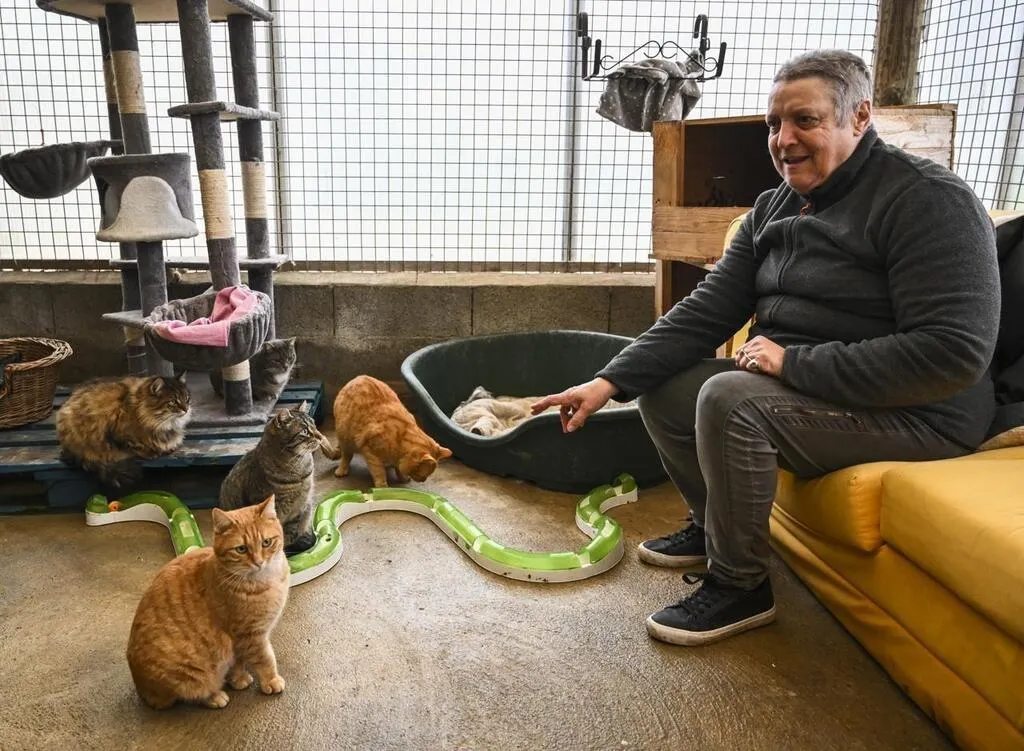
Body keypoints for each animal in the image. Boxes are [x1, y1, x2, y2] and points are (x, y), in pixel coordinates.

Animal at [56, 373, 191, 489]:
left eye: (186, 399)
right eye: (173, 402)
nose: (186, 409)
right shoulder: (118, 434)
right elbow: (133, 446)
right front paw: (150, 452)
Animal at [126, 496, 289, 710]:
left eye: (266, 542)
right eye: (241, 549)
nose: (258, 562)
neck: (265, 580)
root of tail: (143, 690)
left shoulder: (240, 639)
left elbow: (238, 661)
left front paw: (238, 679)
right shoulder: (249, 634)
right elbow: (265, 659)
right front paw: (271, 680)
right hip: (193, 673)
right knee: (192, 693)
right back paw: (215, 696)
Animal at [323, 374, 452, 488]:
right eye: (422, 474)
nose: (423, 480)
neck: (400, 438)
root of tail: (359, 376)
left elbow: (398, 468)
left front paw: (402, 477)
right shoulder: (370, 452)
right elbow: (379, 473)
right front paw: (383, 487)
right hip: (345, 436)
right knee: (346, 456)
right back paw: (342, 469)